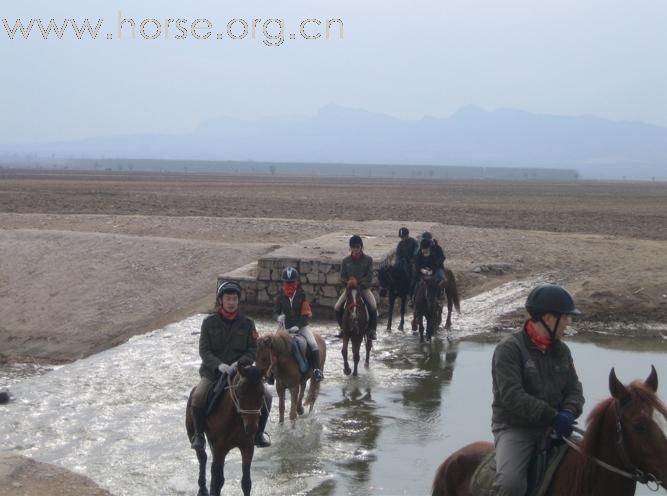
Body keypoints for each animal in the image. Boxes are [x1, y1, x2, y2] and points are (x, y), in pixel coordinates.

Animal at [185, 364, 266, 496]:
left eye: (262, 392)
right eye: (240, 391)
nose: (251, 427)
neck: (236, 419)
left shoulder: (247, 447)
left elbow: (246, 482)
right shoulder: (220, 448)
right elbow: (218, 480)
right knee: (202, 458)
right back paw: (203, 489)